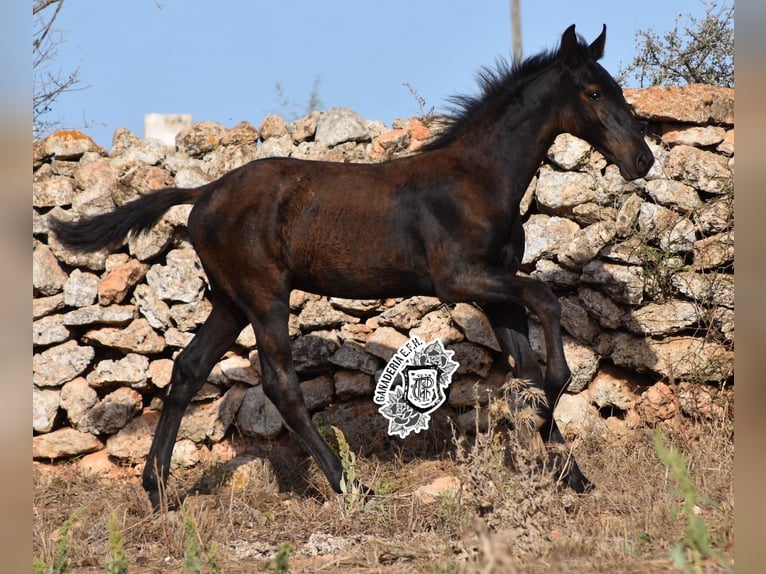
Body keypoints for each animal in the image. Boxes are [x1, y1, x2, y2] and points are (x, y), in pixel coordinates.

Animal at [52, 23, 656, 512]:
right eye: (594, 92)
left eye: (616, 89)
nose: (643, 159)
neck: (478, 179)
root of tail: (204, 193)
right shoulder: (459, 278)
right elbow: (547, 306)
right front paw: (557, 395)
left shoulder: (495, 289)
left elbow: (525, 366)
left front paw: (571, 475)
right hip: (264, 296)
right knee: (280, 385)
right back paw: (350, 486)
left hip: (230, 301)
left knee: (187, 369)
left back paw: (157, 492)